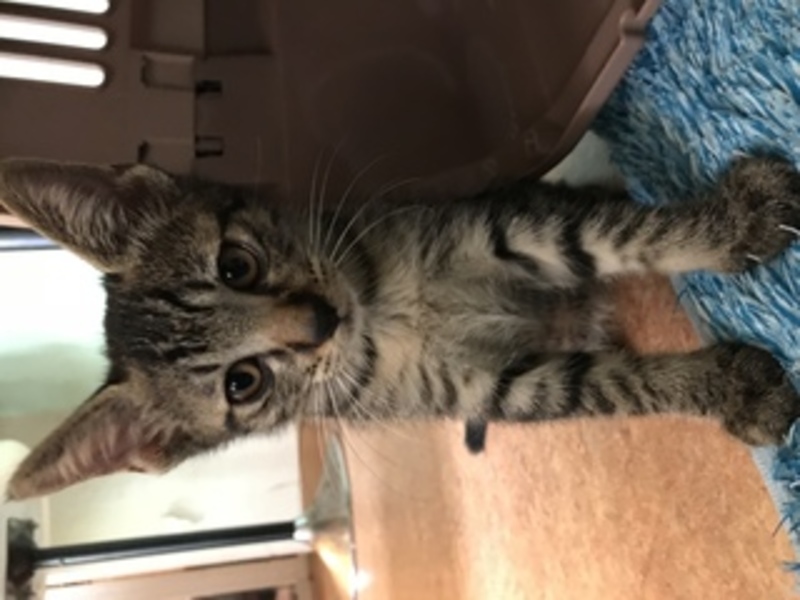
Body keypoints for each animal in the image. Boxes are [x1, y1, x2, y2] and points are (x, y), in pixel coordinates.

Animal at [2, 155, 800, 500]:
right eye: (242, 383)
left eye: (236, 264)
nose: (321, 319)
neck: (383, 317)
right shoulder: (497, 388)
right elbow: (615, 386)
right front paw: (730, 387)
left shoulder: (506, 225)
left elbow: (628, 234)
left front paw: (733, 223)